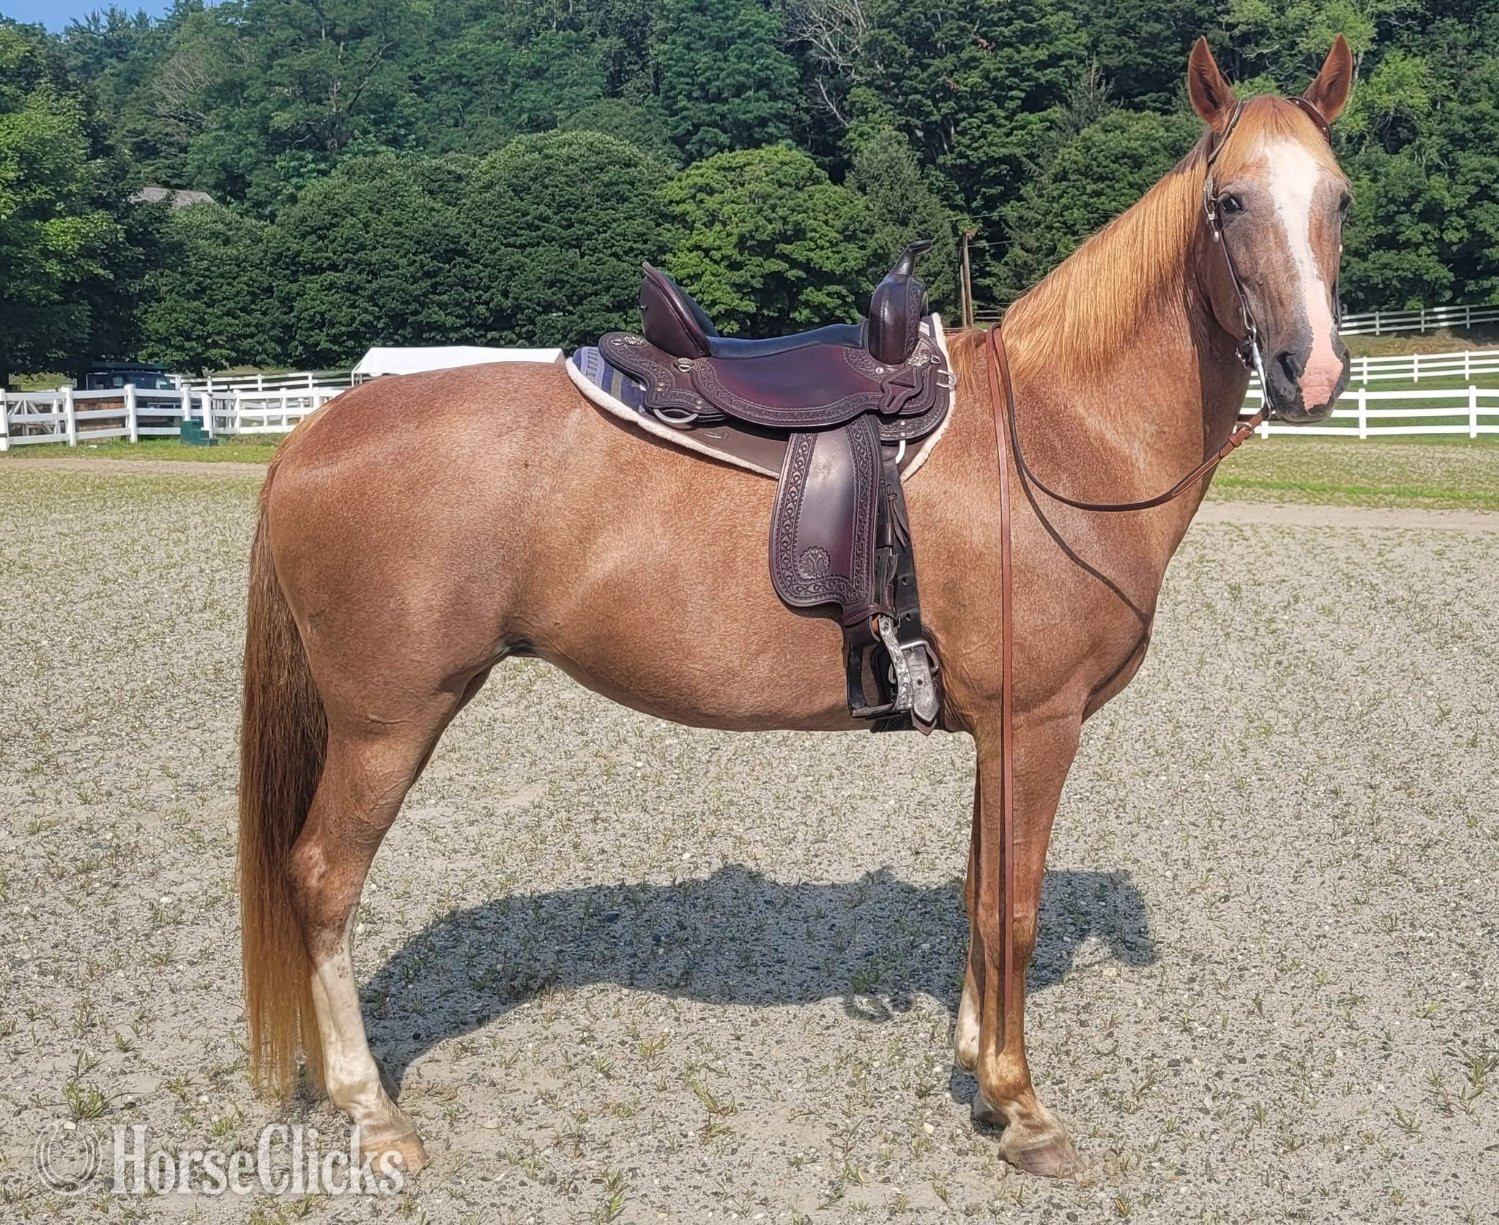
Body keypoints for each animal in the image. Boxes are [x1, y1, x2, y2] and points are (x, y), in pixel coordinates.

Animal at [238, 37, 1355, 1180]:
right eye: (1227, 202)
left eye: (1338, 198)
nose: (1310, 371)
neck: (1054, 435)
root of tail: (314, 431)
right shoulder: (1037, 726)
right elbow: (1015, 907)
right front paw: (1019, 1102)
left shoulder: (993, 731)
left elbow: (976, 893)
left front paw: (974, 1064)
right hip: (387, 722)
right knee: (321, 881)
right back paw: (373, 1112)